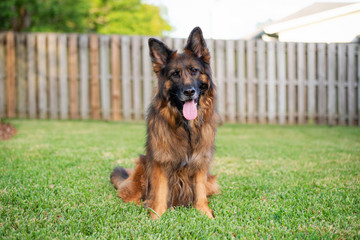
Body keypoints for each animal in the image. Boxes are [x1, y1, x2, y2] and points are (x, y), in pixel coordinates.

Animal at [109, 26, 218, 219]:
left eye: (194, 70)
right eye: (175, 74)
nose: (189, 91)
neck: (185, 127)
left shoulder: (200, 162)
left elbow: (200, 191)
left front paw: (205, 214)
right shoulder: (161, 161)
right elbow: (160, 192)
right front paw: (156, 216)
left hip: (212, 181)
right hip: (142, 166)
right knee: (128, 195)